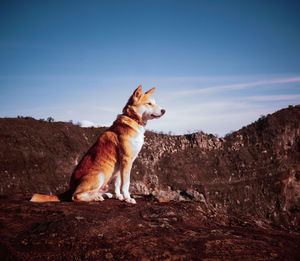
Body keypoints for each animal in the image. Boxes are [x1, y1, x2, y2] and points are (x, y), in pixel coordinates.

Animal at [30, 85, 165, 203]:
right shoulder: (126, 161)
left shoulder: (120, 165)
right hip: (99, 175)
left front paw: (119, 196)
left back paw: (102, 195)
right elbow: (125, 184)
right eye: (149, 103)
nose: (164, 110)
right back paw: (95, 198)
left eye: (155, 103)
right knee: (75, 197)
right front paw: (127, 198)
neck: (132, 120)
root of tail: (70, 188)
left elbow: (117, 184)